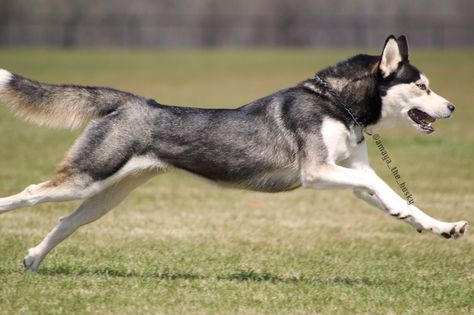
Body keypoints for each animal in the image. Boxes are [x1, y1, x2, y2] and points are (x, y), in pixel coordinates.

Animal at [0, 34, 466, 272]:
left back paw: (33, 259)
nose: (453, 107)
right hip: (85, 178)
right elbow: (377, 182)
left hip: (104, 196)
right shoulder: (316, 172)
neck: (335, 104)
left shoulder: (345, 176)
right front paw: (402, 212)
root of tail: (134, 102)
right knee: (28, 193)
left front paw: (441, 227)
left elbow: (399, 198)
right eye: (422, 86)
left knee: (64, 222)